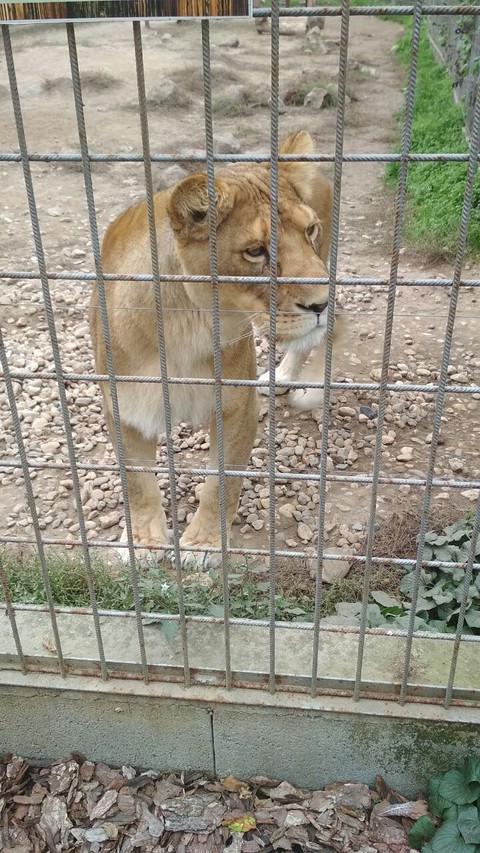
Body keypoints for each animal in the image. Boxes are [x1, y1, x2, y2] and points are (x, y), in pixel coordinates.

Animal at [89, 130, 334, 569]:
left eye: (309, 231)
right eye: (255, 251)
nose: (322, 303)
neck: (186, 328)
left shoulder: (236, 407)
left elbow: (221, 484)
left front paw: (203, 545)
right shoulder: (123, 407)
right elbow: (137, 484)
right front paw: (145, 542)